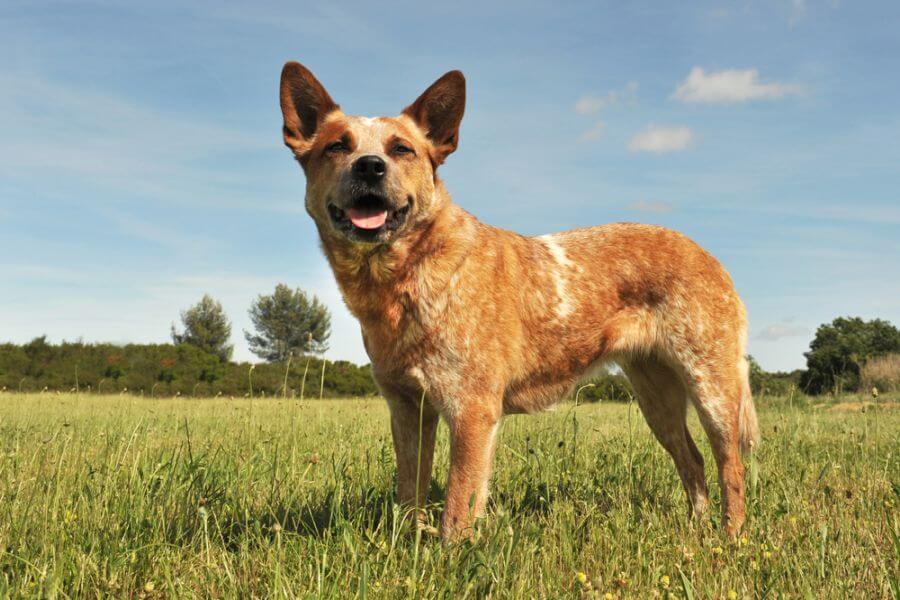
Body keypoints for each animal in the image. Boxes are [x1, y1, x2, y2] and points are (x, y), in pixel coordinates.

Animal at [280, 63, 760, 540]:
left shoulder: (472, 409)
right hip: (655, 396)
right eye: (337, 146)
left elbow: (457, 505)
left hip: (711, 387)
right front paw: (407, 545)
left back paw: (730, 538)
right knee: (692, 461)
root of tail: (710, 257)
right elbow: (410, 492)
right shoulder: (406, 407)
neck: (405, 276)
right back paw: (697, 530)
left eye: (402, 149)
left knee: (730, 466)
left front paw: (451, 553)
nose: (370, 167)